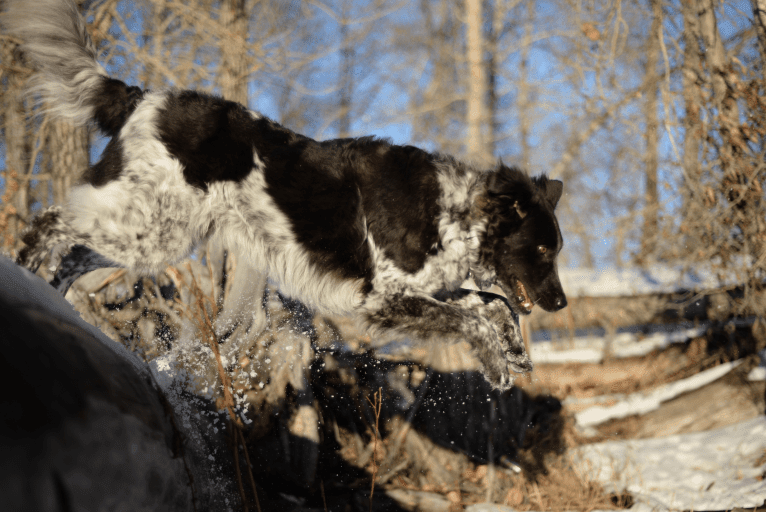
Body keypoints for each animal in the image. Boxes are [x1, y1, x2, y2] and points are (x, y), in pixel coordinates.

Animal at [3, 0, 568, 390]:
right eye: (543, 248)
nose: (561, 303)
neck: (451, 209)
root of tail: (141, 97)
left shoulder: (423, 290)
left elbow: (495, 303)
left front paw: (515, 350)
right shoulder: (381, 299)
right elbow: (473, 315)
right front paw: (496, 362)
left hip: (153, 234)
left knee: (73, 254)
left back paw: (48, 298)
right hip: (151, 231)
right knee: (49, 222)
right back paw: (24, 277)